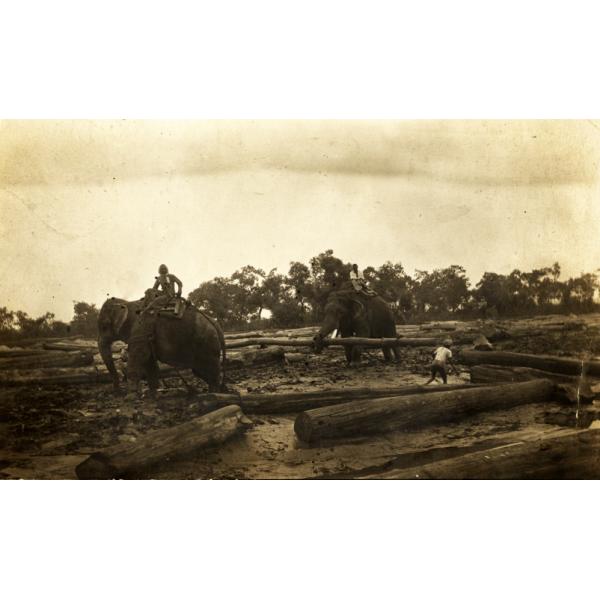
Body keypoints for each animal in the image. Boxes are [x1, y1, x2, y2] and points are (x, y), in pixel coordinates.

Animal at [97, 292, 226, 398]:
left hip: (207, 343)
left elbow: (139, 356)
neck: (127, 302)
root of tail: (216, 324)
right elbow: (149, 362)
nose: (117, 393)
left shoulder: (141, 328)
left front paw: (130, 397)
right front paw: (152, 395)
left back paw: (213, 394)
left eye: (104, 326)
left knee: (210, 370)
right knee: (200, 371)